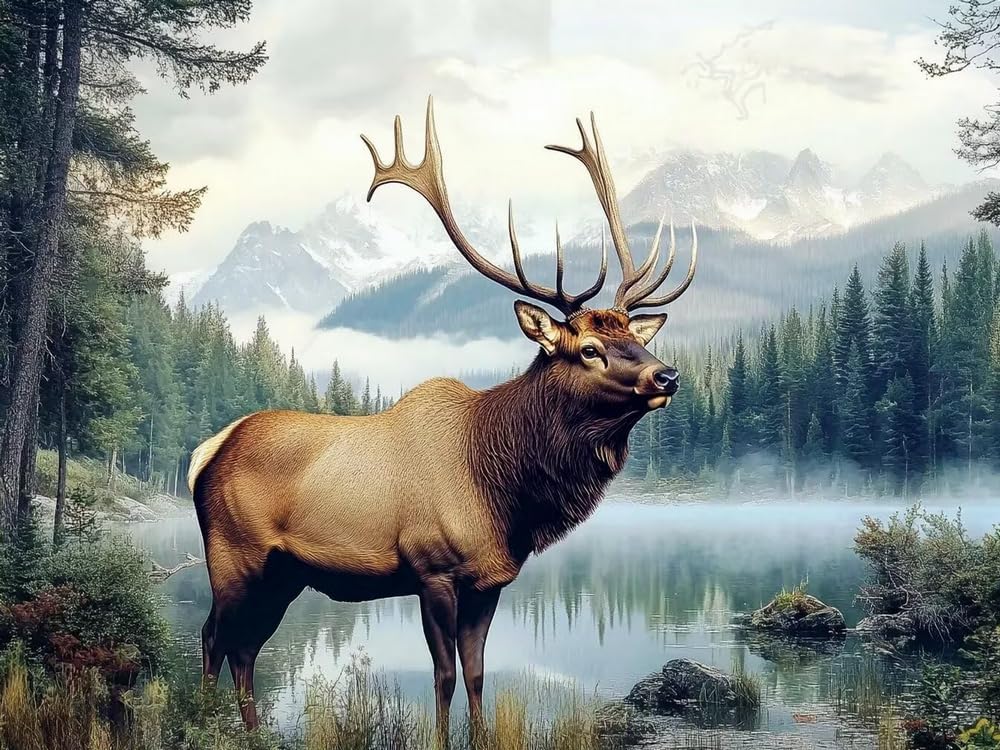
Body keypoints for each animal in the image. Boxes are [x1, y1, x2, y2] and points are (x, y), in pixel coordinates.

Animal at [186, 97, 697, 743]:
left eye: (635, 337)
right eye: (587, 349)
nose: (667, 376)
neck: (505, 491)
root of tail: (205, 453)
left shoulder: (489, 580)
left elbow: (477, 673)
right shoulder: (432, 570)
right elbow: (445, 676)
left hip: (283, 574)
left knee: (245, 648)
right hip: (234, 554)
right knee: (213, 637)